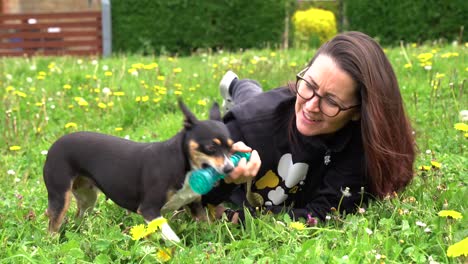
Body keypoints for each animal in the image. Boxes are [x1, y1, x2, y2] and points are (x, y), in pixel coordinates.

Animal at [43, 100, 233, 242]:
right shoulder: (149, 209)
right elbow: (173, 238)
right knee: (52, 227)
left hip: (87, 198)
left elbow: (207, 226)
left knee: (78, 219)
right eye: (211, 148)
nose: (230, 168)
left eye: (231, 148)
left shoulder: (195, 206)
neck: (185, 165)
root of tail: (53, 145)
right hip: (61, 198)